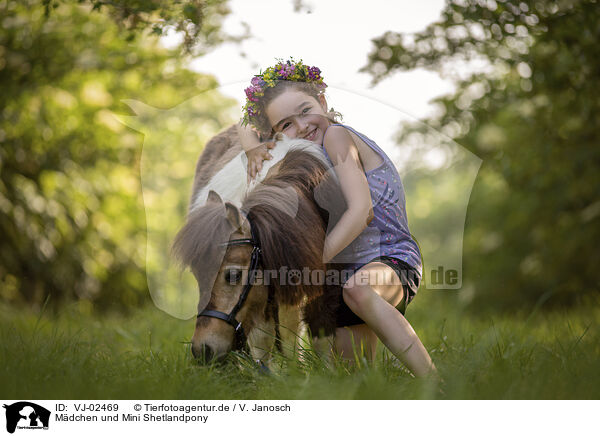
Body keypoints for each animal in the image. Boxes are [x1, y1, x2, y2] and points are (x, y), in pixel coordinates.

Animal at [171, 126, 344, 364]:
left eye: (233, 275)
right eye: (197, 276)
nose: (202, 350)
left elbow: (320, 338)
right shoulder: (260, 300)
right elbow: (264, 344)